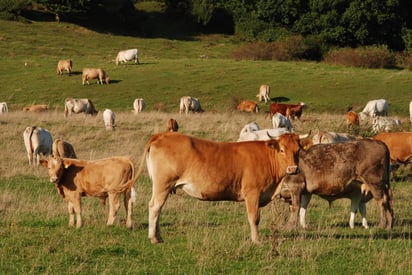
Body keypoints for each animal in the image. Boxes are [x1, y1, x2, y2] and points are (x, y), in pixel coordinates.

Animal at [137, 133, 308, 245]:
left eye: (298, 150)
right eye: (282, 150)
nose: (293, 169)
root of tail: (163, 135)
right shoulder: (252, 194)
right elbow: (254, 218)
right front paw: (256, 240)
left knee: (158, 208)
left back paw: (158, 236)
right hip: (162, 185)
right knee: (155, 207)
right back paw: (153, 237)